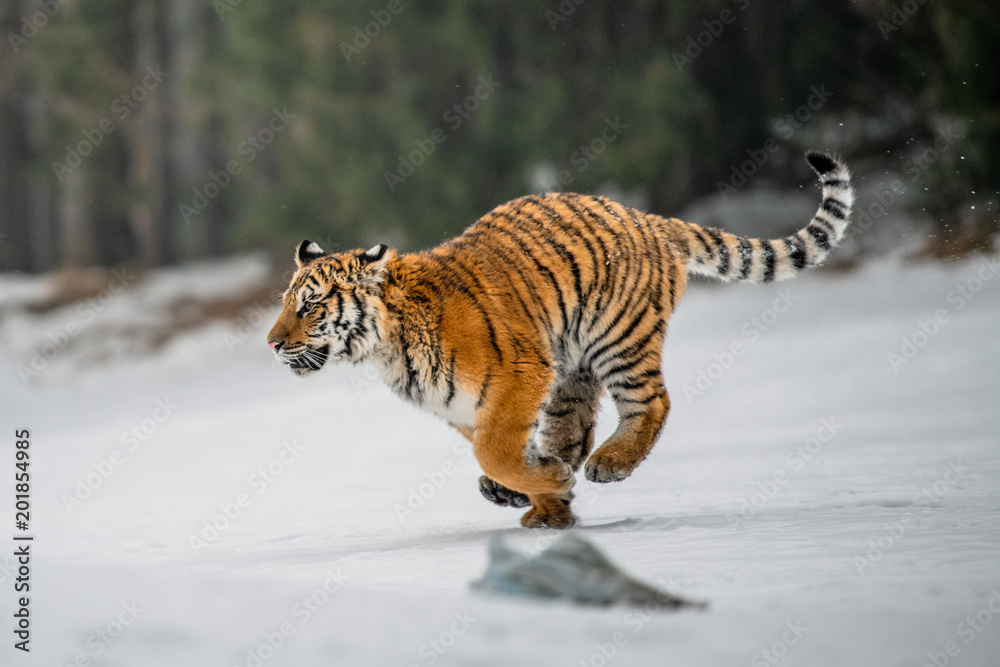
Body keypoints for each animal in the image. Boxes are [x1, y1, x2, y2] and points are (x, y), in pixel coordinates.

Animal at [267, 151, 854, 529]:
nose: (271, 344)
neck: (385, 348)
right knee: (576, 429)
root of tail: (646, 216)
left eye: (310, 306)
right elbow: (501, 451)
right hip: (571, 368)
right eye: (284, 302)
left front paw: (543, 488)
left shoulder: (517, 376)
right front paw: (548, 501)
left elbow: (494, 450)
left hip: (617, 340)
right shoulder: (465, 405)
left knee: (651, 403)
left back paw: (609, 463)